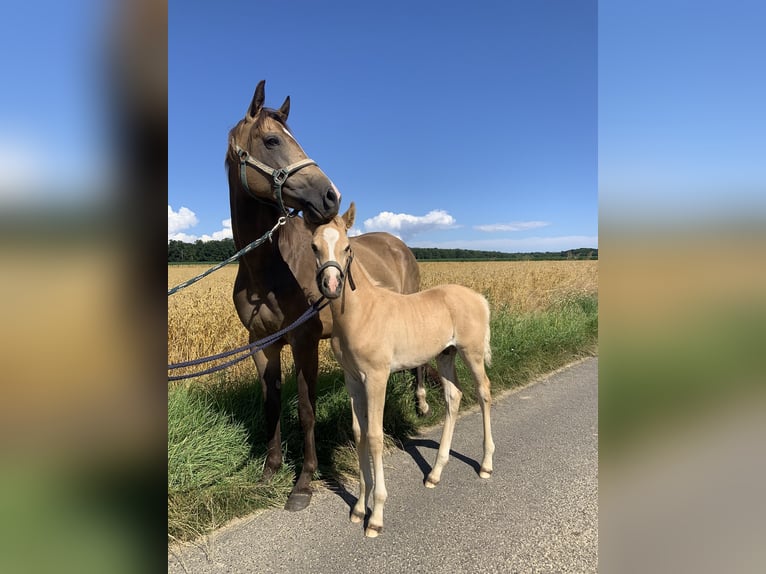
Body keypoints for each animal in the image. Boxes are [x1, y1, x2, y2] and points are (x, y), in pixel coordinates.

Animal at [225, 82, 428, 512]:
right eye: (272, 140)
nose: (330, 196)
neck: (268, 267)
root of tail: (399, 243)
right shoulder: (260, 343)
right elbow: (272, 405)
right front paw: (270, 471)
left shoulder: (305, 341)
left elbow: (306, 409)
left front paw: (303, 482)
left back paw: (421, 403)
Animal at [312, 206, 498, 540]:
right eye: (314, 247)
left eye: (347, 247)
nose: (331, 286)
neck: (362, 311)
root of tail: (478, 298)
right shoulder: (352, 380)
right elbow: (359, 433)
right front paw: (358, 508)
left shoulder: (377, 377)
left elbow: (374, 436)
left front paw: (375, 517)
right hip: (446, 356)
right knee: (454, 396)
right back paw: (435, 473)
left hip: (473, 353)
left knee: (483, 393)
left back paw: (486, 464)